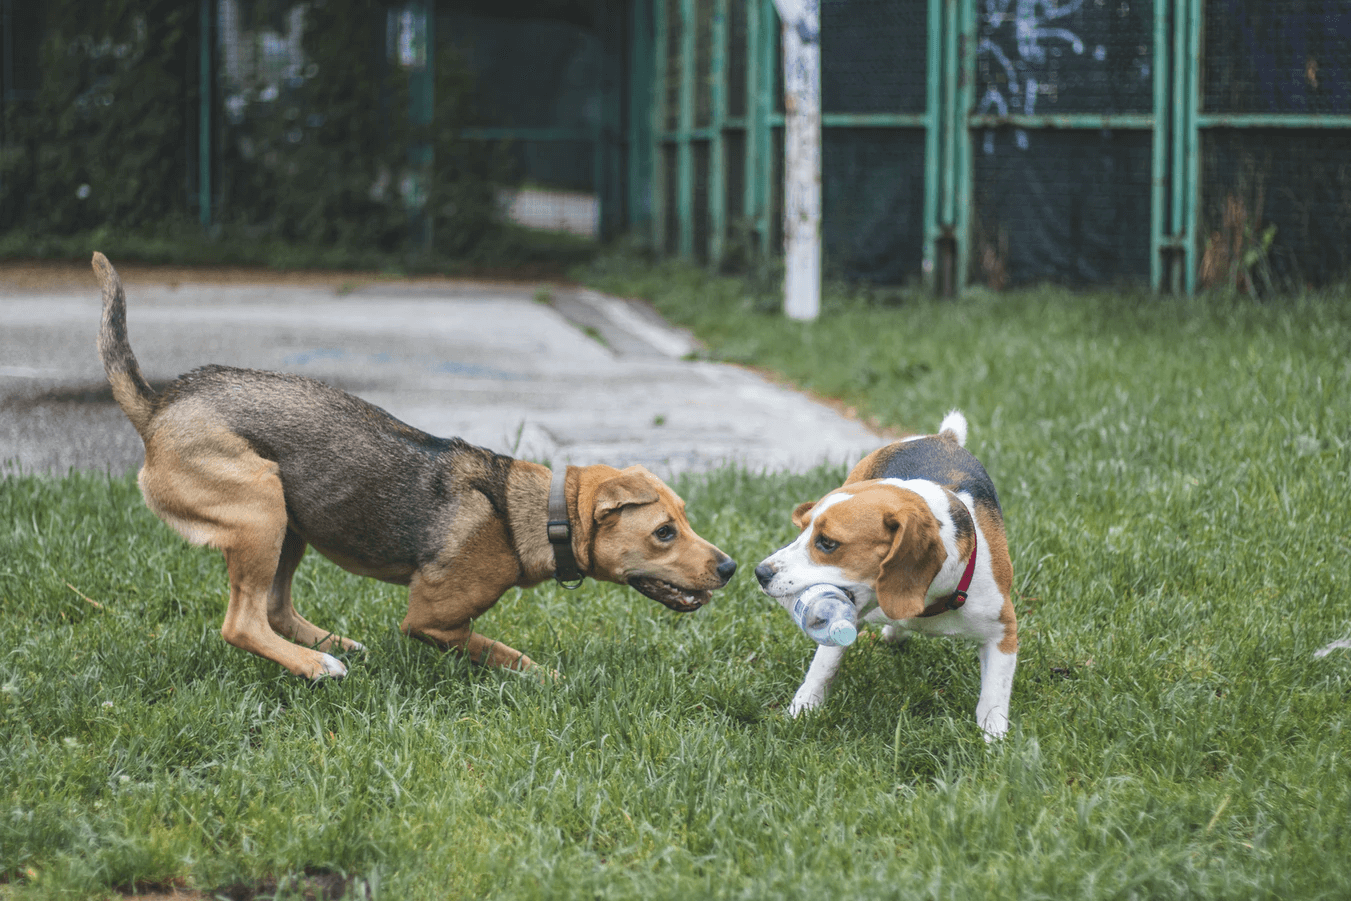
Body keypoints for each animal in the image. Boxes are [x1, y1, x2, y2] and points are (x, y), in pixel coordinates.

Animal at [92, 249, 740, 680]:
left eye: (685, 519)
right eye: (664, 532)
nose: (732, 567)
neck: (535, 513)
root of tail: (157, 405)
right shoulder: (432, 619)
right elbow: (500, 651)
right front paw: (546, 680)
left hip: (290, 522)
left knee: (274, 608)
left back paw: (334, 646)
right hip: (260, 507)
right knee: (243, 622)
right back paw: (318, 665)